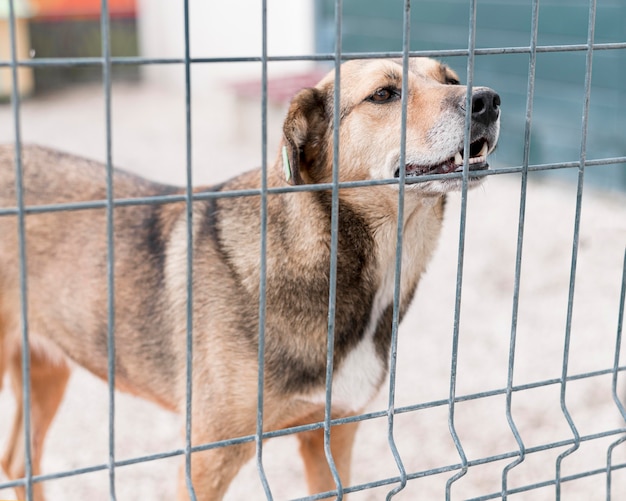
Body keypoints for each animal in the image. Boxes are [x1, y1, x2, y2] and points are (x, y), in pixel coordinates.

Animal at [0, 56, 498, 498]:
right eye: (384, 94)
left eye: (450, 79)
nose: (488, 100)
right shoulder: (206, 459)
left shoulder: (331, 438)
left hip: (46, 372)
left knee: (22, 464)